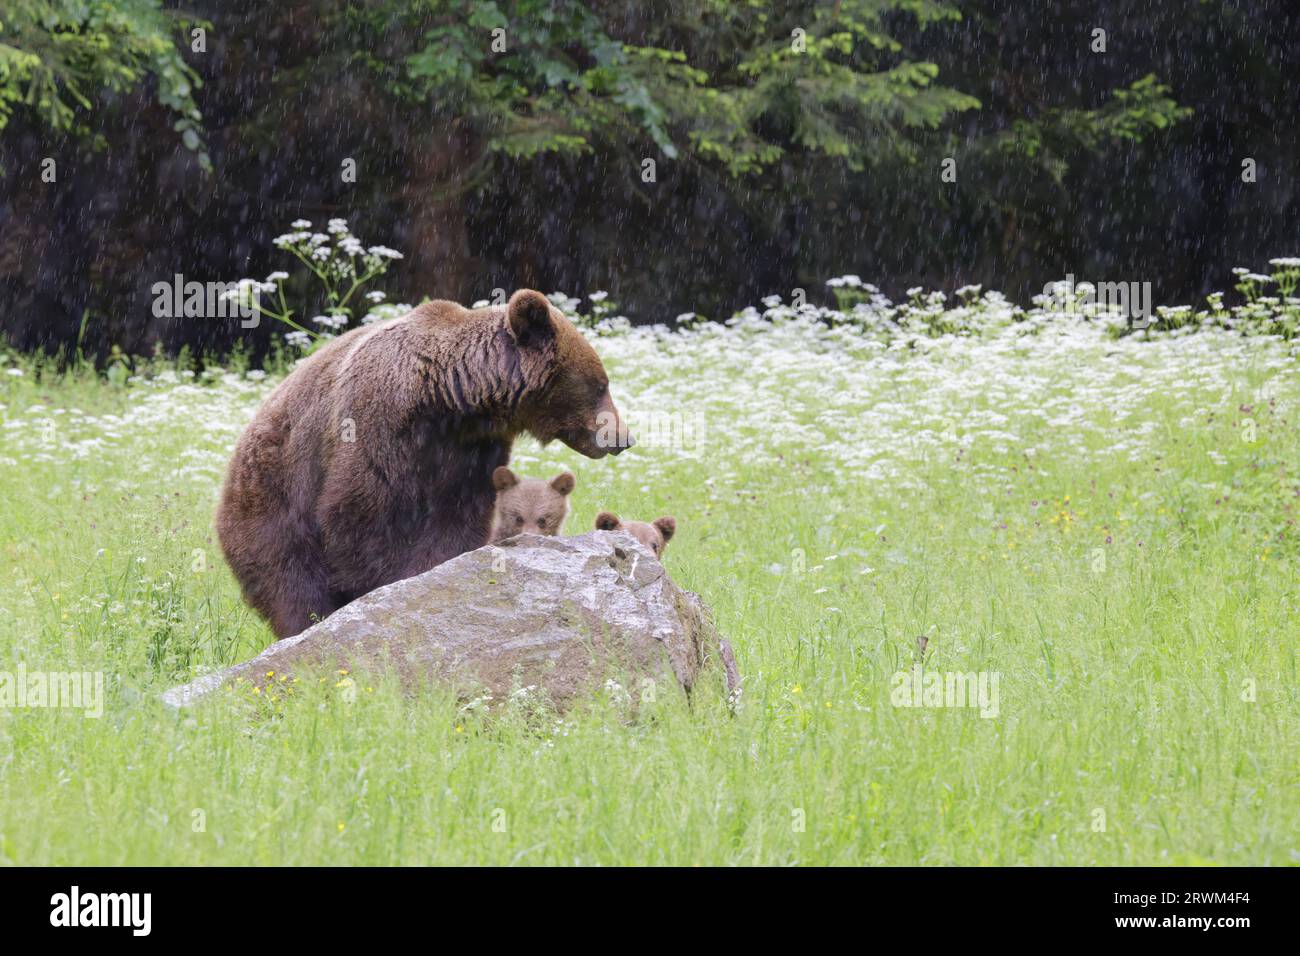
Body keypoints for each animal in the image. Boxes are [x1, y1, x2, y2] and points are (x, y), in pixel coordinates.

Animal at [215, 287, 631, 639]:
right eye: (600, 385)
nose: (623, 438)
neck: (448, 398)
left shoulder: (472, 452)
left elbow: (454, 521)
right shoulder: (376, 424)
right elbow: (360, 517)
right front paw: (384, 590)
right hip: (272, 501)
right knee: (291, 580)